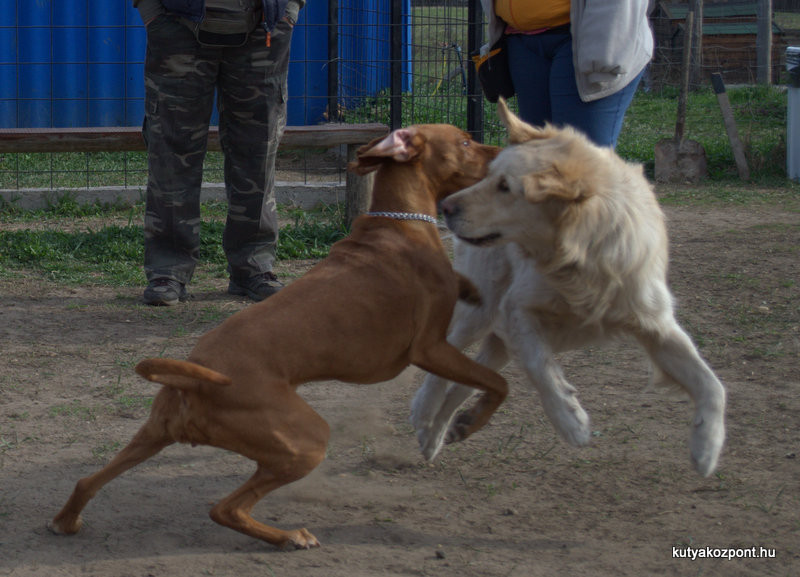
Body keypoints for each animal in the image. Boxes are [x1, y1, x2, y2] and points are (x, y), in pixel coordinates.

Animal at [50, 125, 504, 548]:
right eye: (465, 142)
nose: (502, 152)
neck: (400, 223)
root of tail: (198, 378)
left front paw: (473, 289)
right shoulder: (431, 349)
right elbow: (499, 383)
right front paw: (469, 423)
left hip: (154, 435)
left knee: (87, 481)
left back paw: (66, 521)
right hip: (306, 441)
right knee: (225, 509)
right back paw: (289, 537)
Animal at [412, 100, 724, 476]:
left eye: (505, 187)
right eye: (490, 177)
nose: (446, 207)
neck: (584, 256)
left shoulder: (656, 325)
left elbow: (712, 386)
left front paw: (707, 448)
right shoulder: (516, 311)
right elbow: (541, 368)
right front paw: (569, 420)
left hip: (499, 340)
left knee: (464, 381)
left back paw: (441, 434)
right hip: (480, 313)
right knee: (442, 361)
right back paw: (424, 415)